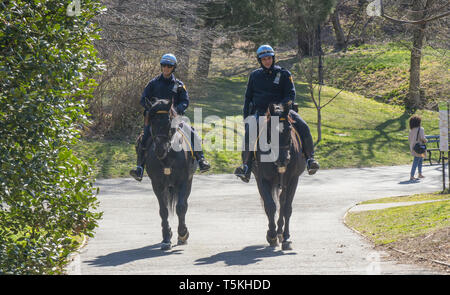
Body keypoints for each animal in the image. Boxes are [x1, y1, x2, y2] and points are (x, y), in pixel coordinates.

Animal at [140, 98, 196, 251]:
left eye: (168, 123)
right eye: (152, 123)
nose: (160, 149)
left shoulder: (183, 182)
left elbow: (181, 207)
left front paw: (183, 234)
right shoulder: (157, 185)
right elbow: (163, 210)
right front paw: (166, 237)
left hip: (188, 183)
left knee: (184, 205)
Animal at [253, 103, 306, 251]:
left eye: (289, 128)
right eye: (270, 130)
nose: (282, 159)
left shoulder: (293, 179)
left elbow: (287, 207)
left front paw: (286, 237)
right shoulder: (262, 179)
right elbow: (270, 206)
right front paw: (271, 235)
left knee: (282, 203)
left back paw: (281, 233)